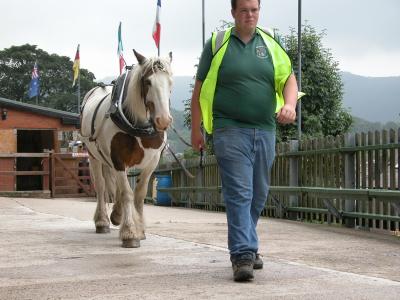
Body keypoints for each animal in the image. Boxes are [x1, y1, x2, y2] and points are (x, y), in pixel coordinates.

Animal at [81, 50, 173, 248]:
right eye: (148, 82)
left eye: (170, 81)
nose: (163, 120)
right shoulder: (118, 159)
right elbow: (127, 193)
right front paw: (130, 233)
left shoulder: (152, 161)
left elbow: (138, 193)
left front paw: (140, 229)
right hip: (94, 156)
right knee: (101, 186)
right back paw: (102, 221)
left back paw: (117, 214)